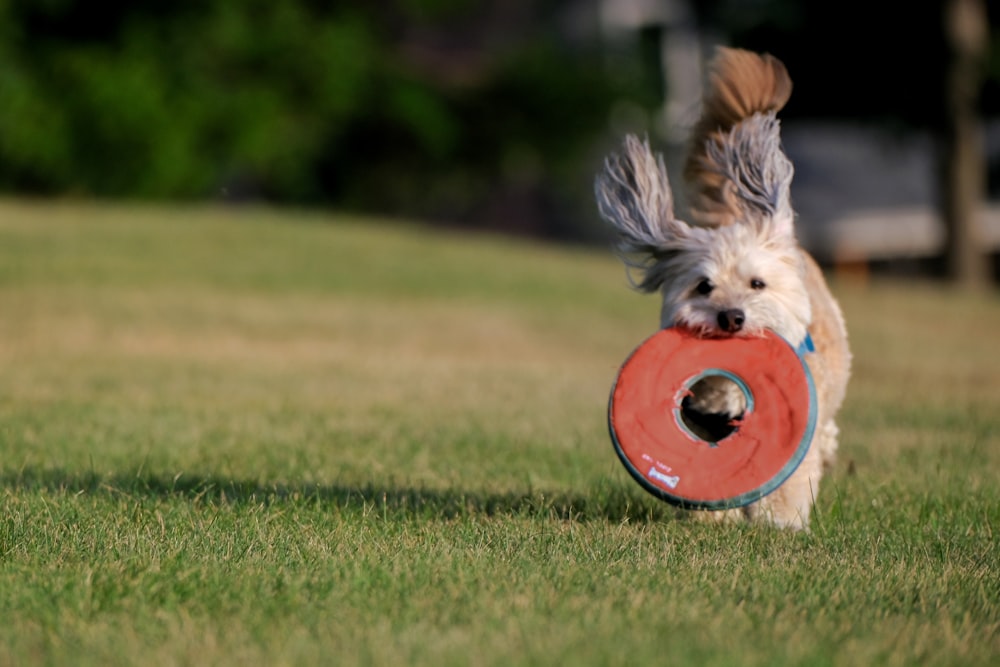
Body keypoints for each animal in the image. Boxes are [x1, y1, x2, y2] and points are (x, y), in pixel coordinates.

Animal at [592, 47, 852, 528]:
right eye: (703, 286)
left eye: (757, 284)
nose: (731, 316)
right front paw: (715, 519)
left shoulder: (796, 424)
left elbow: (788, 478)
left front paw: (780, 520)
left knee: (825, 432)